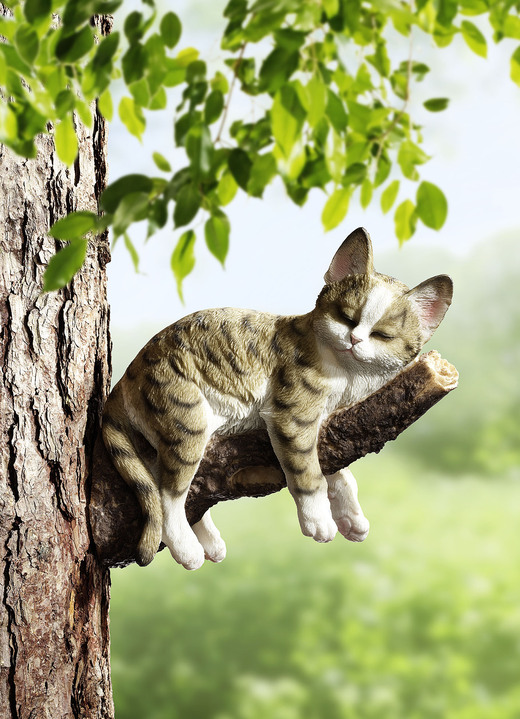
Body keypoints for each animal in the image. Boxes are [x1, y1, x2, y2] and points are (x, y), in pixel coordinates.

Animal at [101, 228, 450, 572]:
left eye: (382, 335)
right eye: (346, 317)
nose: (354, 339)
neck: (346, 375)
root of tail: (125, 378)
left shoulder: (322, 424)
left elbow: (337, 471)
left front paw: (350, 517)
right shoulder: (292, 418)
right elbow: (308, 472)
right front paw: (318, 520)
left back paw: (208, 541)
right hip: (185, 419)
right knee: (167, 494)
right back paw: (188, 549)